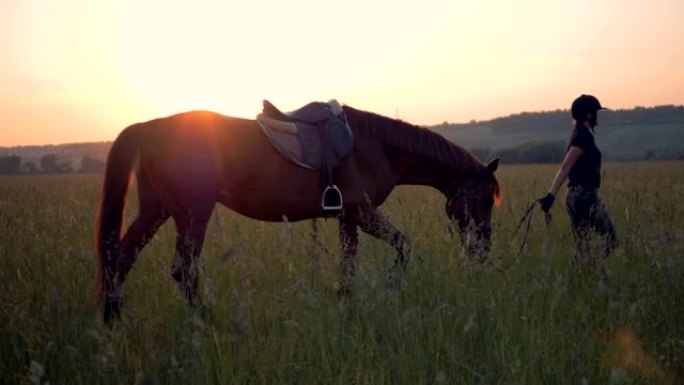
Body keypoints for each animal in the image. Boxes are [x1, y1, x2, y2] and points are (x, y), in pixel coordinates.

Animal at [95, 102, 502, 320]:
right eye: (483, 199)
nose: (483, 250)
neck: (378, 146)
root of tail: (148, 127)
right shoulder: (362, 212)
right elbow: (404, 245)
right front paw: (389, 290)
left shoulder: (348, 217)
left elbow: (349, 265)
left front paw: (345, 305)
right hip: (193, 213)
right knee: (183, 270)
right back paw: (204, 322)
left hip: (158, 209)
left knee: (122, 259)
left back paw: (113, 319)